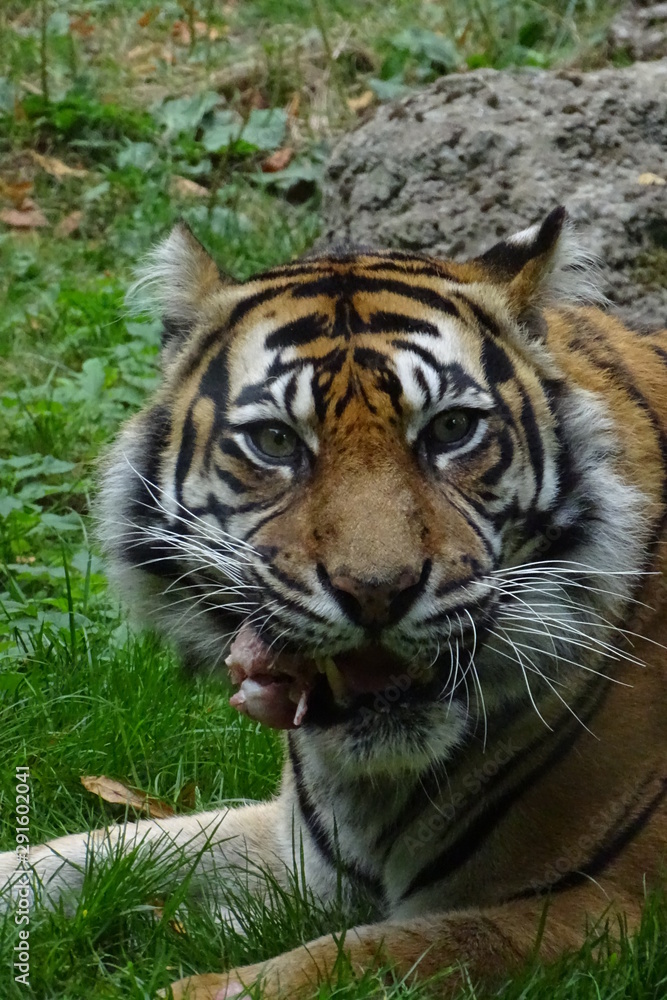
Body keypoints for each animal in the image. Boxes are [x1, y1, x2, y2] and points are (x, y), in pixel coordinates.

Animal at [1, 206, 665, 1000]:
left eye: (450, 429)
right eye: (274, 441)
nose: (376, 591)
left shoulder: (603, 914)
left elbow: (361, 956)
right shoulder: (296, 852)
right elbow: (96, 852)